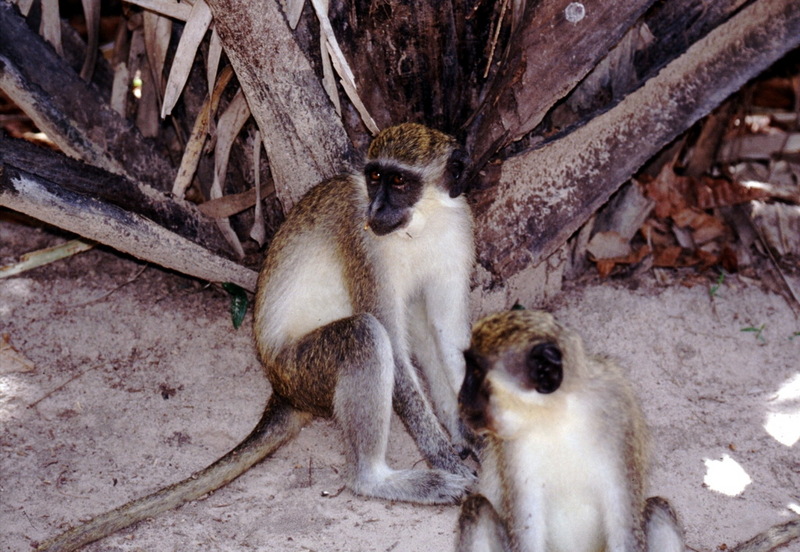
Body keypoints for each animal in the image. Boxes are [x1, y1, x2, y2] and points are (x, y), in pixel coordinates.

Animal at [456, 310, 800, 552]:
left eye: (476, 373)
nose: (461, 399)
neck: (556, 415)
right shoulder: (512, 447)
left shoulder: (619, 421)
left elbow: (625, 523)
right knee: (475, 508)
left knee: (658, 508)